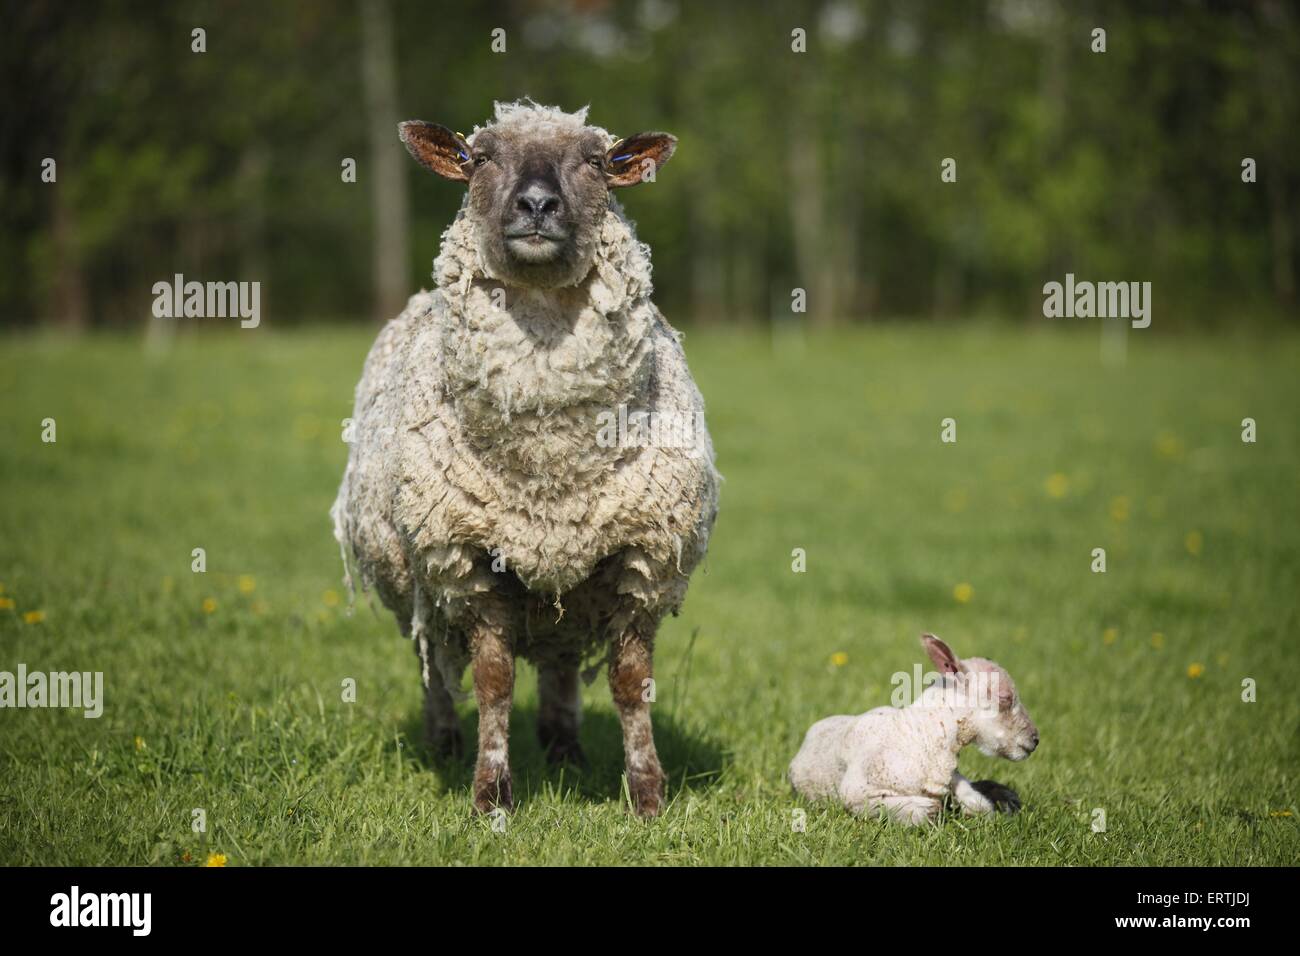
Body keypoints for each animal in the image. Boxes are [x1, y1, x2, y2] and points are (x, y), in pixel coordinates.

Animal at [330, 100, 722, 816]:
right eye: (480, 157)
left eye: (596, 161)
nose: (537, 204)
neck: (550, 462)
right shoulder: (468, 561)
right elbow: (492, 682)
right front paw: (490, 796)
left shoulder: (641, 562)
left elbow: (631, 685)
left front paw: (648, 796)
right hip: (418, 584)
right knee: (435, 666)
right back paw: (445, 740)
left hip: (568, 581)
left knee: (560, 660)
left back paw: (565, 748)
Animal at [785, 632, 1040, 827]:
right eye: (1005, 697)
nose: (1035, 739)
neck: (921, 734)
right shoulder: (856, 791)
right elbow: (928, 810)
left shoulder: (951, 777)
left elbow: (978, 805)